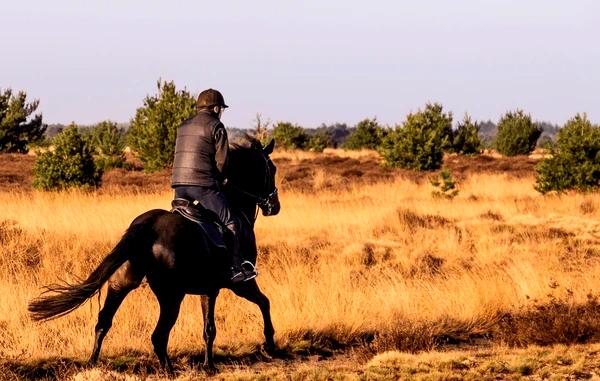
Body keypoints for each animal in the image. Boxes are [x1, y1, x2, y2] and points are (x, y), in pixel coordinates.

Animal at [28, 137, 282, 374]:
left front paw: (209, 365)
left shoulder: (209, 289)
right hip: (172, 296)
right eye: (272, 168)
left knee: (103, 323)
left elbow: (209, 328)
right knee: (158, 336)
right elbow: (264, 302)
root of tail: (147, 226)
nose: (275, 206)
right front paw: (269, 345)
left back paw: (92, 364)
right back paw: (169, 370)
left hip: (120, 285)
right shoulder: (240, 284)